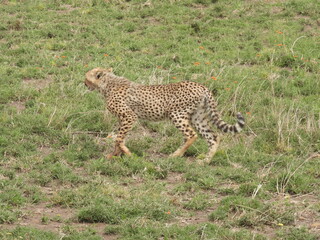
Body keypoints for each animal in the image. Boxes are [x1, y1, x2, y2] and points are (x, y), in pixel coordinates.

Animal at [85, 66, 245, 162]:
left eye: (86, 78)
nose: (84, 83)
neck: (108, 83)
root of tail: (201, 86)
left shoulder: (130, 116)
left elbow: (118, 139)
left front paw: (128, 154)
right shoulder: (123, 118)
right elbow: (119, 138)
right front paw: (114, 155)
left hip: (177, 114)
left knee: (191, 135)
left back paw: (176, 155)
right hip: (197, 117)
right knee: (213, 136)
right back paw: (205, 160)